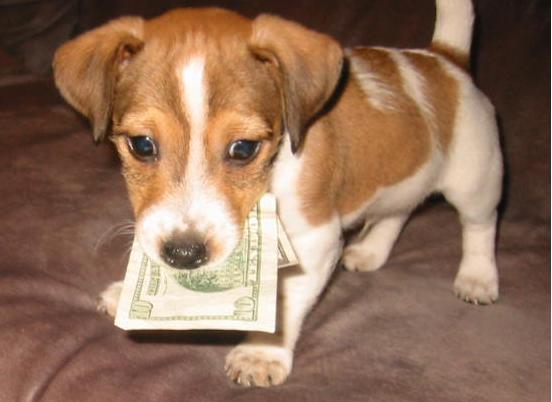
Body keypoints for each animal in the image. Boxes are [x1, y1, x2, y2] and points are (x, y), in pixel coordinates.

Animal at [53, 0, 502, 387]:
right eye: (142, 145)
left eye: (243, 148)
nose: (184, 254)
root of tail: (443, 58)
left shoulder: (314, 240)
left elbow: (283, 303)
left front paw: (262, 353)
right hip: (400, 181)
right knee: (398, 212)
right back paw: (371, 251)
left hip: (476, 180)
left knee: (479, 227)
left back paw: (477, 278)